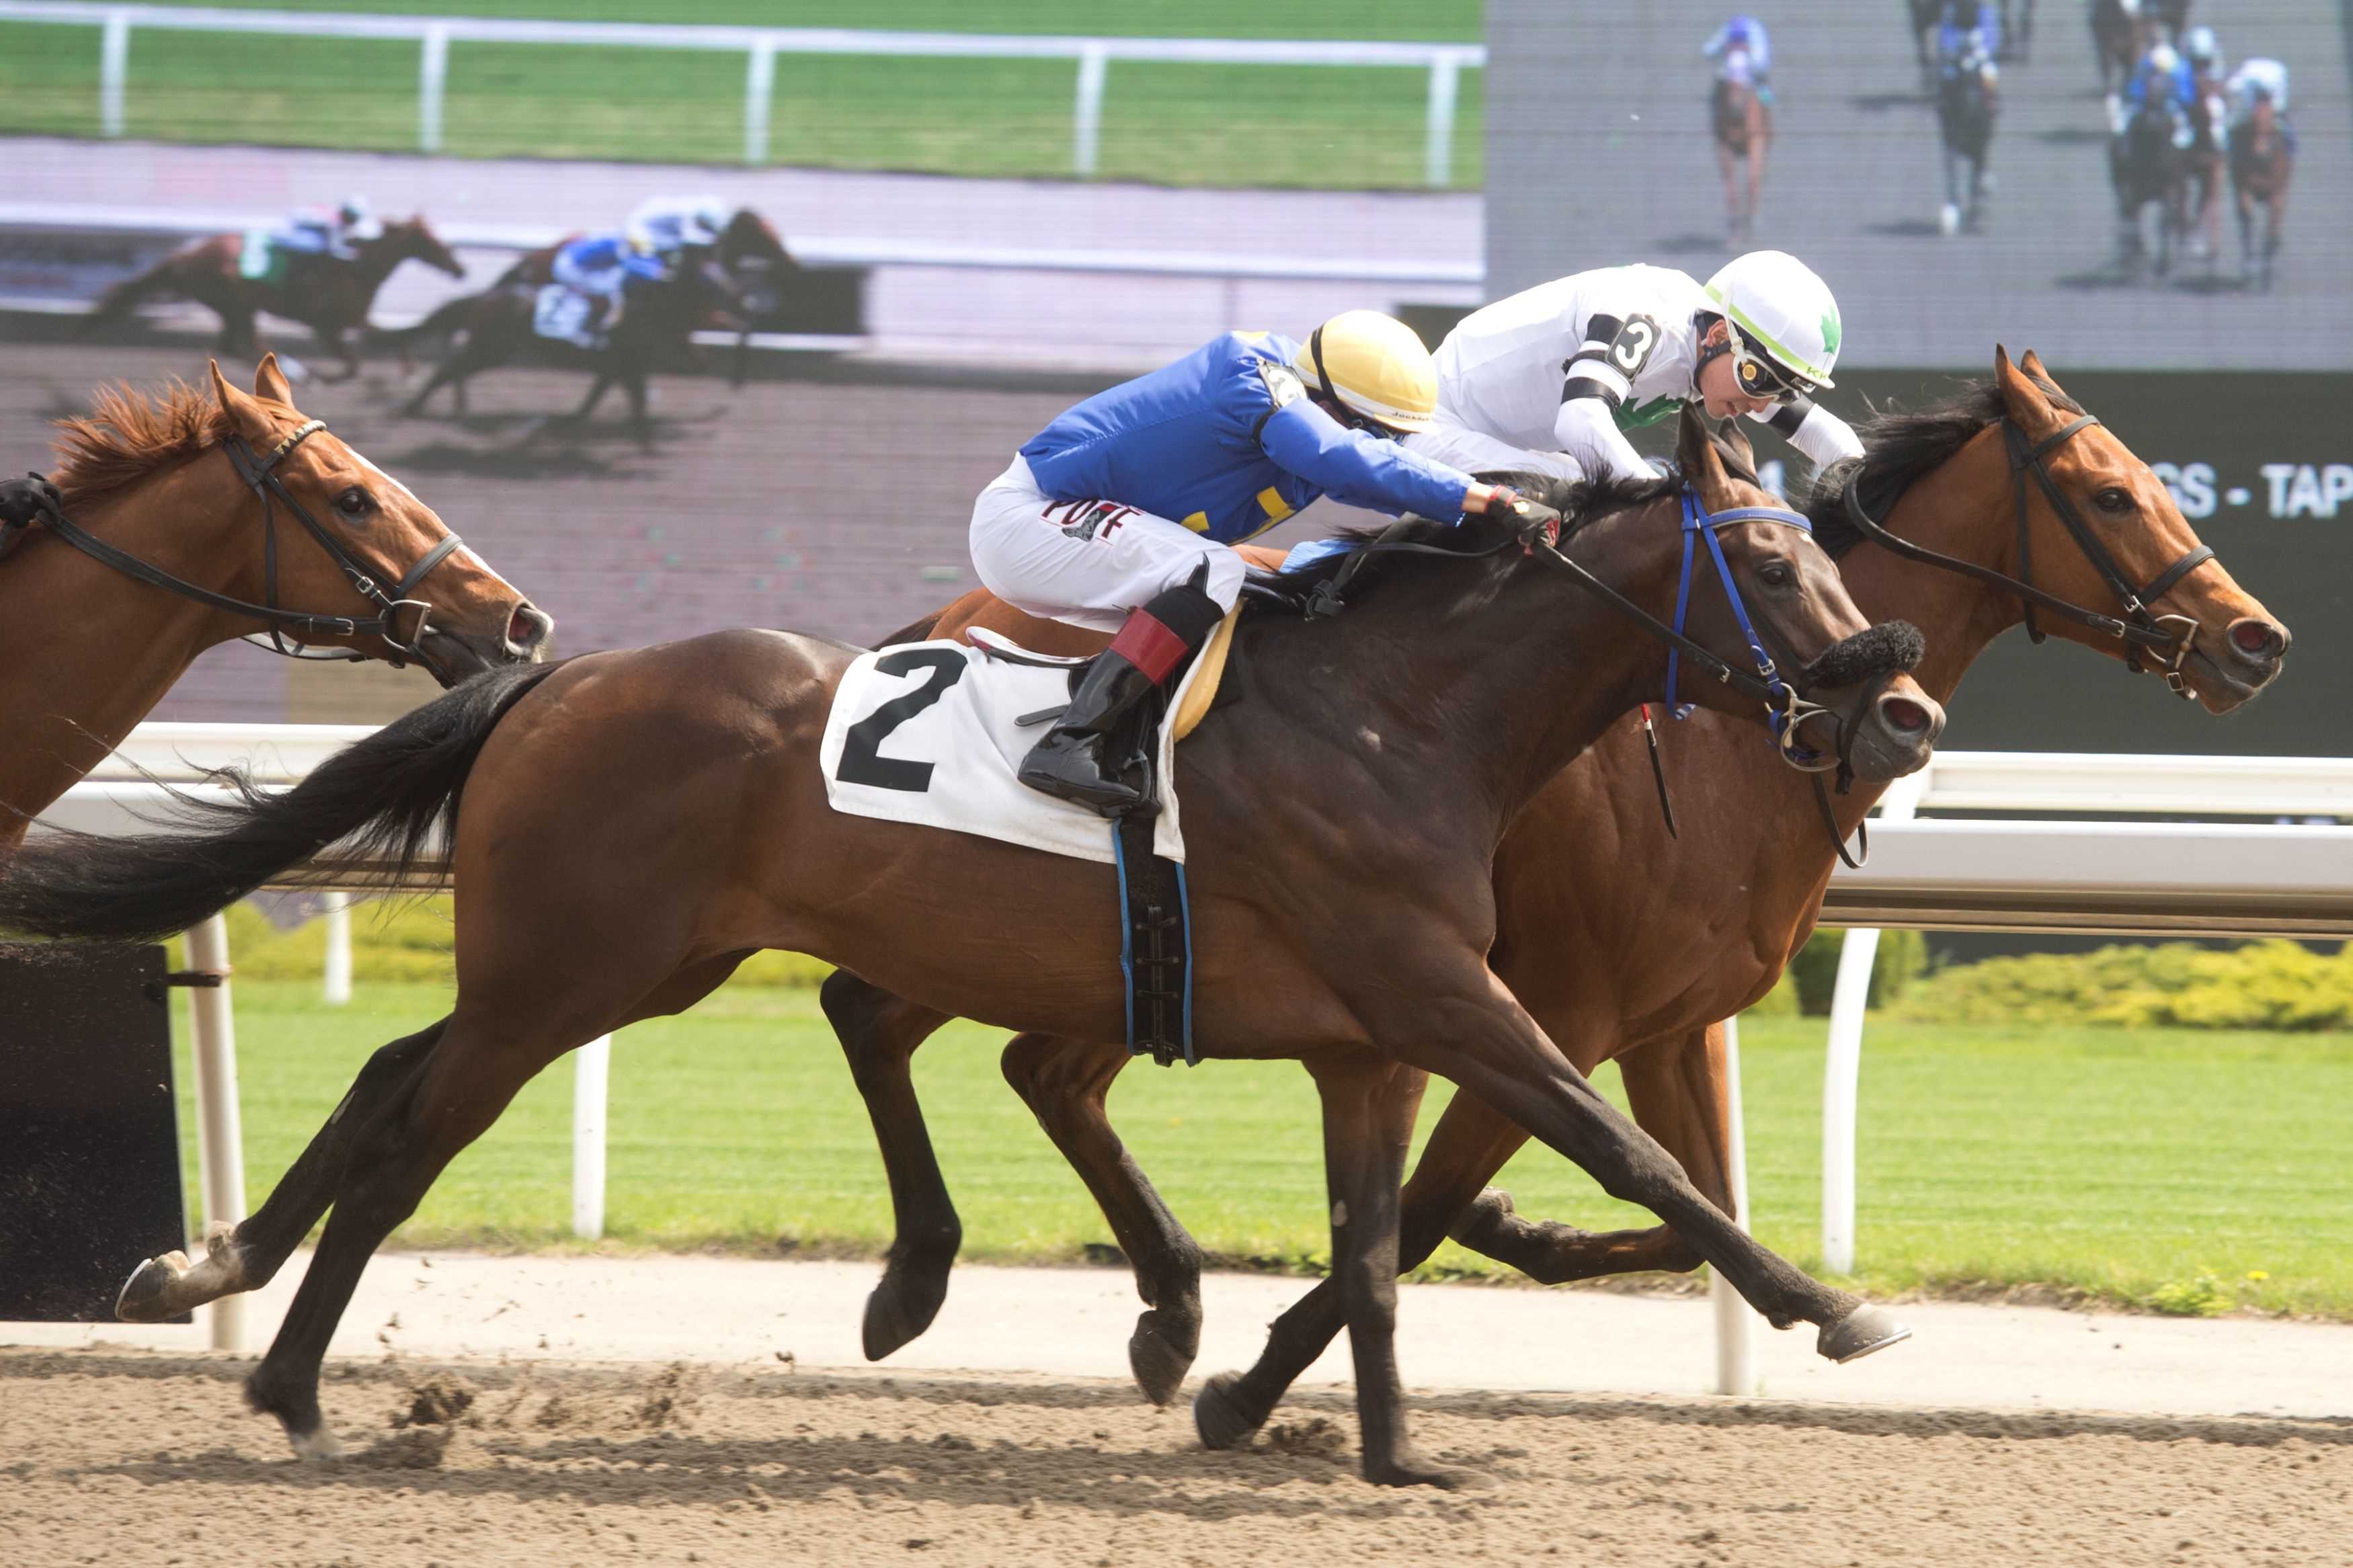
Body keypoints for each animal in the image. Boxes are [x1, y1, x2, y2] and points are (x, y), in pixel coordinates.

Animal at [88, 220, 463, 385]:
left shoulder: (352, 320)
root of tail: (186, 256)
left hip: (235, 308)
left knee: (232, 345)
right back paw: (295, 372)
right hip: (236, 303)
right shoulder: (327, 325)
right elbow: (356, 360)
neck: (358, 265)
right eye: (432, 241)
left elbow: (385, 340)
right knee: (243, 344)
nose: (460, 268)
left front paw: (410, 369)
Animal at [819, 350, 2287, 1457]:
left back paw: (1153, 1305)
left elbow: (1688, 1210)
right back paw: (1001, 1293)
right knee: (911, 1022)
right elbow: (1439, 1208)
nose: (2255, 637)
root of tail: (941, 611)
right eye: (2113, 493)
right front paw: (1257, 1384)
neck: (1720, 741)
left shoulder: (1664, 1022)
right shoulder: (1536, 1008)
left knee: (1015, 1059)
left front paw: (1506, 1239)